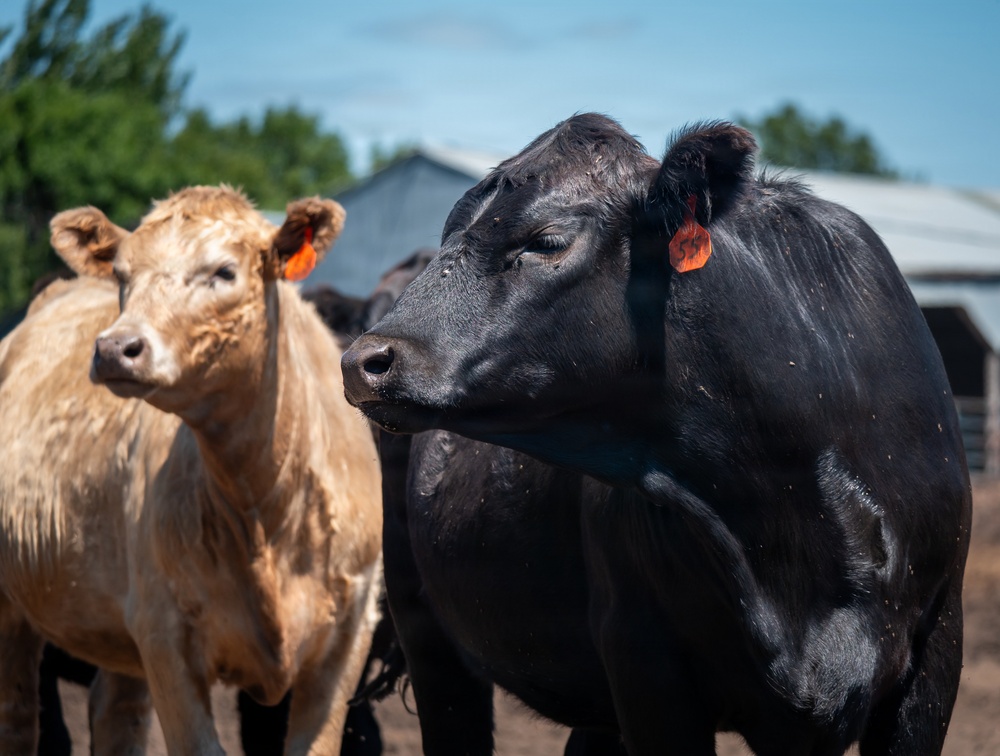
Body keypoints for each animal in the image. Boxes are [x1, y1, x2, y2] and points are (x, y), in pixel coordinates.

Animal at [0, 186, 383, 755]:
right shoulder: (166, 635)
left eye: (224, 272)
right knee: (20, 716)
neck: (265, 504)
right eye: (122, 274)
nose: (114, 348)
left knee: (115, 715)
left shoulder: (348, 638)